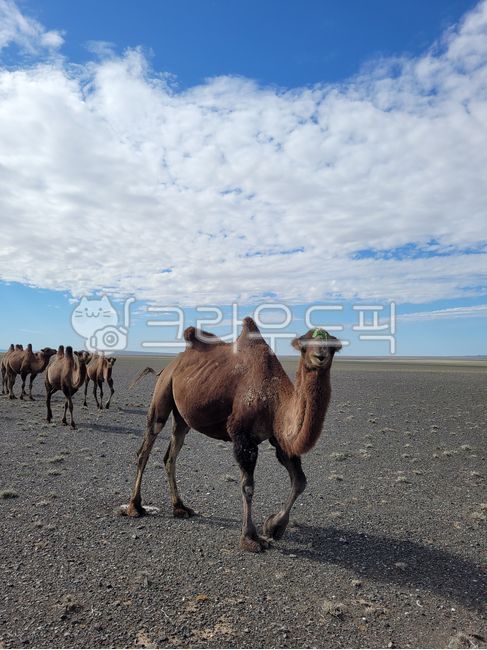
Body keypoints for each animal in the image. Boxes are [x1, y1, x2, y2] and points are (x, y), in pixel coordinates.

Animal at [124, 317, 341, 552]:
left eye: (333, 347)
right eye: (303, 346)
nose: (320, 356)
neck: (275, 399)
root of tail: (170, 365)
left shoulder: (279, 439)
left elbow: (300, 481)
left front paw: (274, 526)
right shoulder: (242, 435)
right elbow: (248, 486)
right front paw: (250, 538)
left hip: (182, 416)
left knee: (170, 455)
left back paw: (180, 507)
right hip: (162, 393)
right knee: (146, 447)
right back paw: (135, 507)